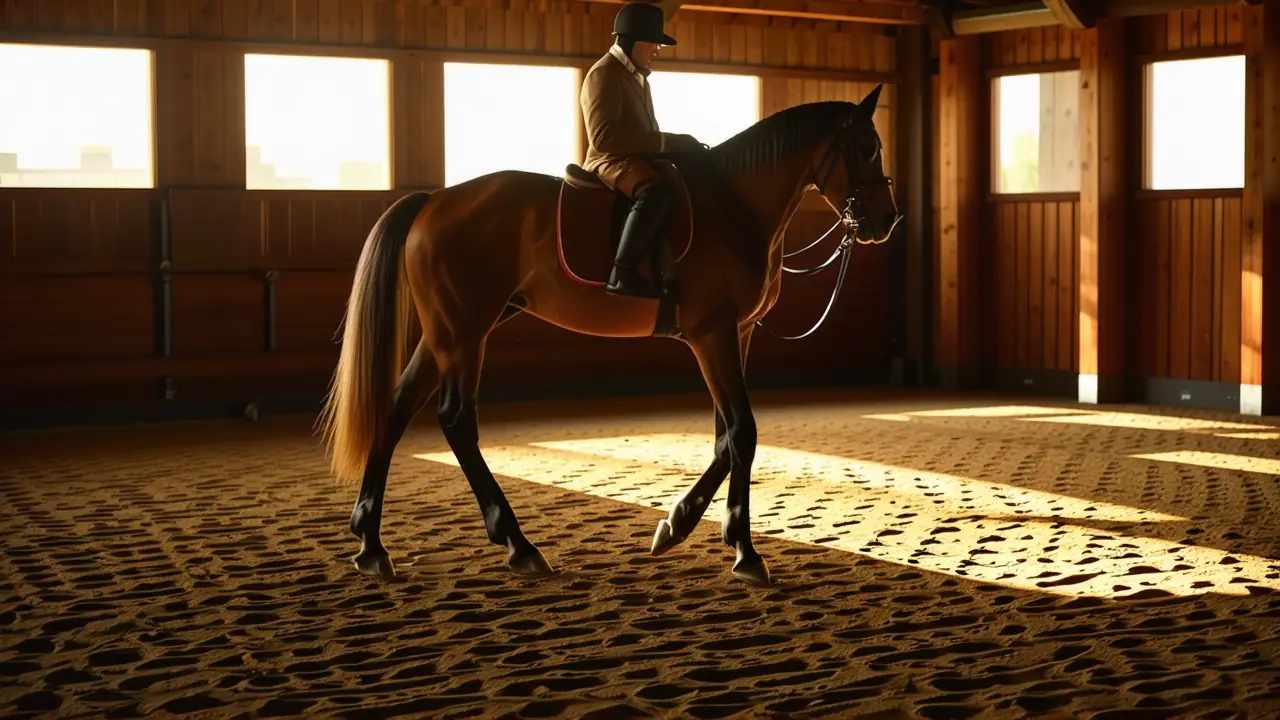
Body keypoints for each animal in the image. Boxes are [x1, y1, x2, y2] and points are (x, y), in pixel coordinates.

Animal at [318, 87, 900, 588]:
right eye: (865, 148)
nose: (887, 220)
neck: (736, 205)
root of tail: (434, 202)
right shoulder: (711, 334)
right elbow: (743, 433)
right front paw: (744, 551)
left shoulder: (736, 334)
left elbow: (724, 438)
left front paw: (676, 525)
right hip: (465, 332)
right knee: (456, 420)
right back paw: (517, 544)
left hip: (449, 331)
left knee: (397, 407)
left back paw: (371, 544)